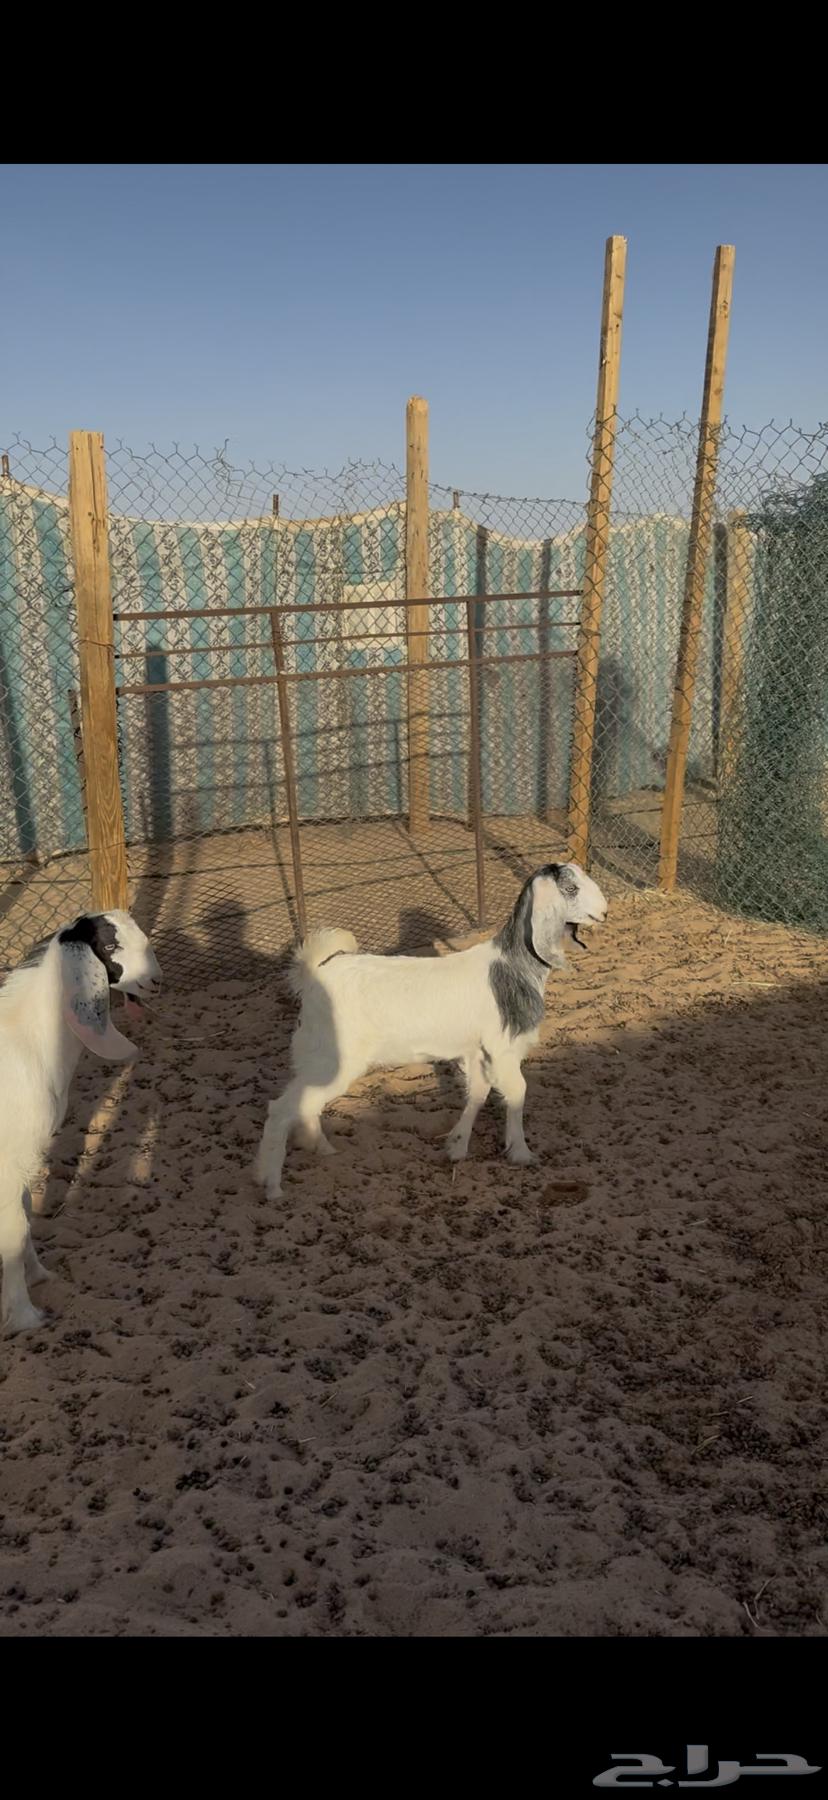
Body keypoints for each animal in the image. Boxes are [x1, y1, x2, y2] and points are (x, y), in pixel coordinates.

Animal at [0, 910, 162, 1334]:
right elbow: (14, 1230)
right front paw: (27, 1317)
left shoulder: (28, 1157)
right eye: (110, 945)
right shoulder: (9, 1164)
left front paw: (40, 1276)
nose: (156, 981)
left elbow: (25, 1217)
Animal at [255, 861, 608, 1199]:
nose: (604, 912)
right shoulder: (503, 1048)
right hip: (332, 1060)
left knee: (306, 1105)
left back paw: (321, 1148)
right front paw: (521, 1152)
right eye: (571, 888)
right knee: (281, 1109)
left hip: (317, 1061)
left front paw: (457, 1146)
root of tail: (313, 974)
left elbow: (478, 1092)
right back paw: (271, 1186)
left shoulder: (476, 1051)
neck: (511, 968)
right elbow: (518, 1091)